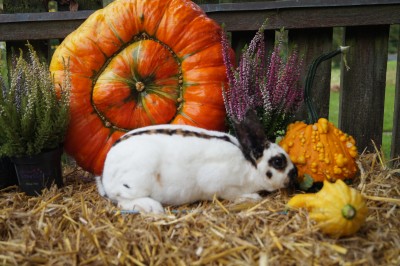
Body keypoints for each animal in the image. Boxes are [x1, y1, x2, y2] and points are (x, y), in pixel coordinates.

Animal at [96, 109, 296, 213]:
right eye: (278, 162)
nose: (295, 173)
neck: (249, 167)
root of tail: (106, 175)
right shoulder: (222, 186)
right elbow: (233, 195)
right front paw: (252, 197)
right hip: (135, 182)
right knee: (122, 201)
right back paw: (153, 208)